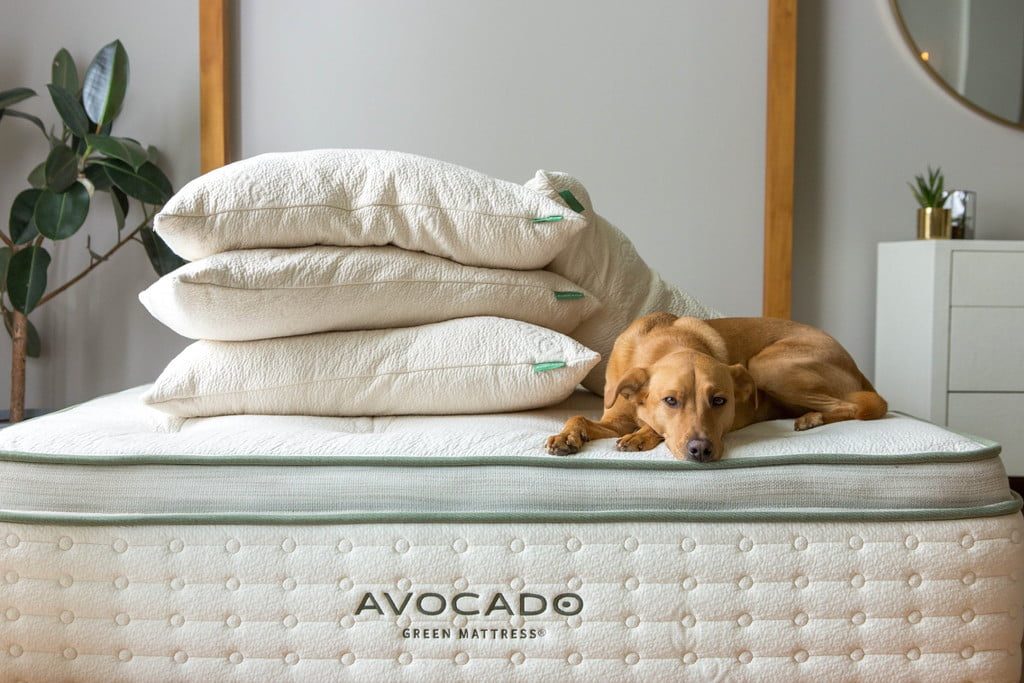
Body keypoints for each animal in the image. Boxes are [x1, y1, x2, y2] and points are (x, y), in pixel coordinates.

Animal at [546, 314, 887, 461]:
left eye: (720, 401)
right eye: (670, 400)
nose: (701, 450)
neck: (666, 344)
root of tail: (855, 366)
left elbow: (653, 427)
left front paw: (642, 435)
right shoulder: (614, 419)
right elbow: (579, 417)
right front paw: (567, 436)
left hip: (766, 365)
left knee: (857, 406)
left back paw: (812, 417)